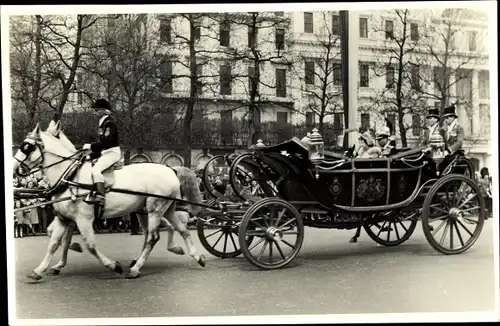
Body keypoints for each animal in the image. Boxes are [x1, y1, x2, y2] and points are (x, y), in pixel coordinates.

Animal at [13, 122, 205, 280]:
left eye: (27, 147)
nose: (14, 169)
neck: (71, 176)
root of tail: (170, 169)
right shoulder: (64, 219)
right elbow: (53, 244)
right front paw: (40, 270)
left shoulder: (83, 219)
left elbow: (90, 245)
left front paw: (113, 265)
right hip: (163, 208)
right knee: (180, 229)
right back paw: (195, 256)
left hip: (155, 209)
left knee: (153, 237)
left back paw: (136, 269)